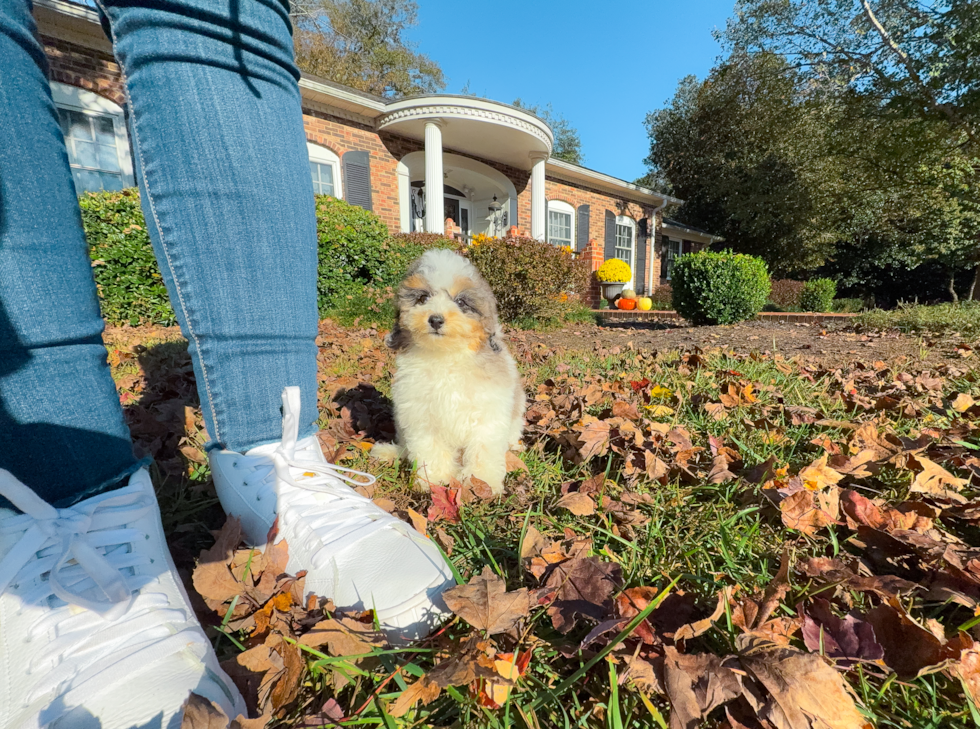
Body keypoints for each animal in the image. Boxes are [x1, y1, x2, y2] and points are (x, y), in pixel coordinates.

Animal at [376, 247, 528, 492]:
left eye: (461, 301)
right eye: (422, 298)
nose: (436, 320)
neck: (446, 357)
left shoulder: (488, 414)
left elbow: (482, 449)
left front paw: (482, 482)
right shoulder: (420, 415)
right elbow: (430, 449)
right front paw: (435, 480)